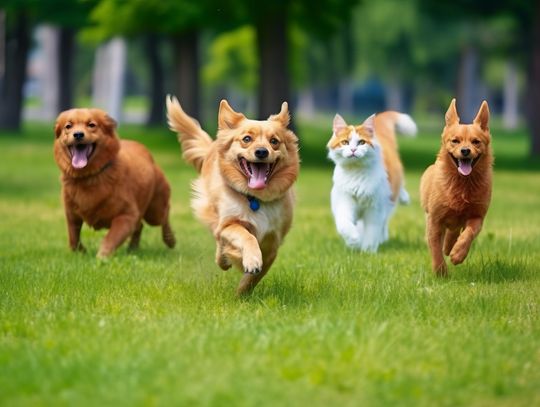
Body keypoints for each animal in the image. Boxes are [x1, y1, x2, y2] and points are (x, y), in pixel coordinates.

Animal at [53, 108, 175, 258]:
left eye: (91, 125)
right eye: (68, 126)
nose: (78, 134)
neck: (89, 176)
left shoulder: (126, 215)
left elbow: (110, 238)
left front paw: (101, 257)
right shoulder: (71, 214)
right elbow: (73, 238)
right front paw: (80, 252)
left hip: (154, 211)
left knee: (165, 214)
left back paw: (169, 238)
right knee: (140, 226)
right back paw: (133, 248)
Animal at [166, 96, 300, 294]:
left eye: (274, 141)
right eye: (247, 139)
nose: (262, 151)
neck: (256, 198)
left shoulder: (272, 244)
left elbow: (255, 276)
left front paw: (241, 293)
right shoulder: (229, 224)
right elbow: (246, 236)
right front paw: (251, 259)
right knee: (219, 240)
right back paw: (222, 258)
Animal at [324, 111, 418, 252]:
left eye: (361, 142)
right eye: (345, 142)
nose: (353, 150)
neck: (356, 172)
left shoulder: (375, 208)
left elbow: (372, 231)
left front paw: (367, 250)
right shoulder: (344, 203)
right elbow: (344, 225)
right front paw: (354, 241)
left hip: (388, 199)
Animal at [422, 100, 494, 276]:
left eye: (476, 142)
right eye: (455, 141)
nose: (465, 150)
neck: (463, 183)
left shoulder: (477, 216)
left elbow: (469, 233)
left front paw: (458, 254)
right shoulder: (434, 220)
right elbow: (435, 247)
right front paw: (440, 272)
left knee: (454, 232)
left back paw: (450, 247)